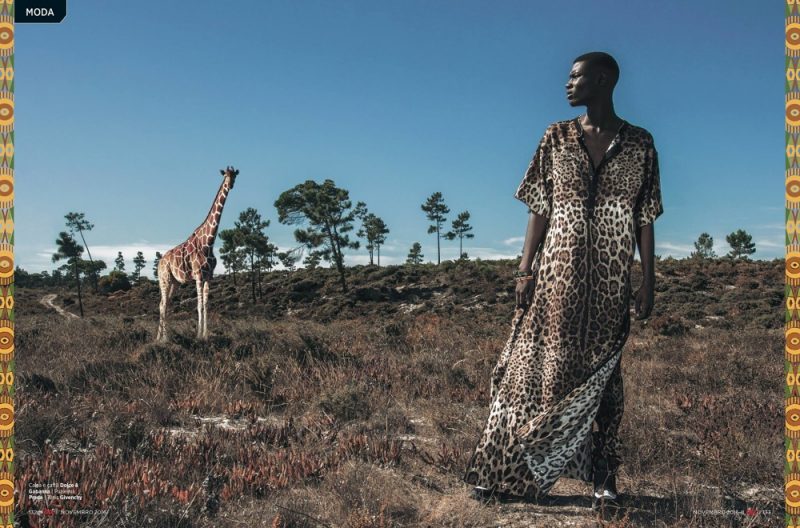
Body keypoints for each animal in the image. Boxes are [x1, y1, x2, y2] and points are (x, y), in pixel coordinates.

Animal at [156, 166, 238, 342]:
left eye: (235, 176)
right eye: (225, 176)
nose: (230, 185)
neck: (209, 242)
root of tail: (159, 262)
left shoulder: (209, 276)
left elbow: (206, 305)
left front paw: (205, 334)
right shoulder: (198, 275)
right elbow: (199, 305)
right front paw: (199, 335)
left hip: (175, 282)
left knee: (164, 304)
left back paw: (159, 337)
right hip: (164, 279)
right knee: (163, 304)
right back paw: (165, 337)